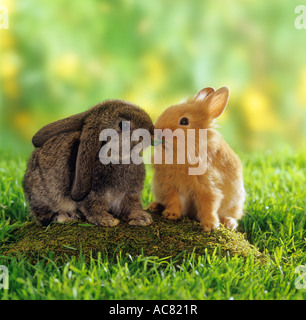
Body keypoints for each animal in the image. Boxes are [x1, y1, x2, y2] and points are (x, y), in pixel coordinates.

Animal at [23, 100, 154, 228]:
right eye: (124, 125)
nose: (152, 132)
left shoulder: (129, 194)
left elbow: (130, 207)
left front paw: (142, 218)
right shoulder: (93, 195)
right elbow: (93, 208)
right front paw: (107, 220)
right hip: (43, 196)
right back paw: (66, 217)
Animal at [147, 86, 245, 231]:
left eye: (184, 121)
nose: (158, 132)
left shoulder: (208, 187)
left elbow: (208, 206)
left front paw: (210, 226)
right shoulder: (169, 185)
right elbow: (173, 200)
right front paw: (170, 215)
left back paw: (229, 223)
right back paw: (153, 206)